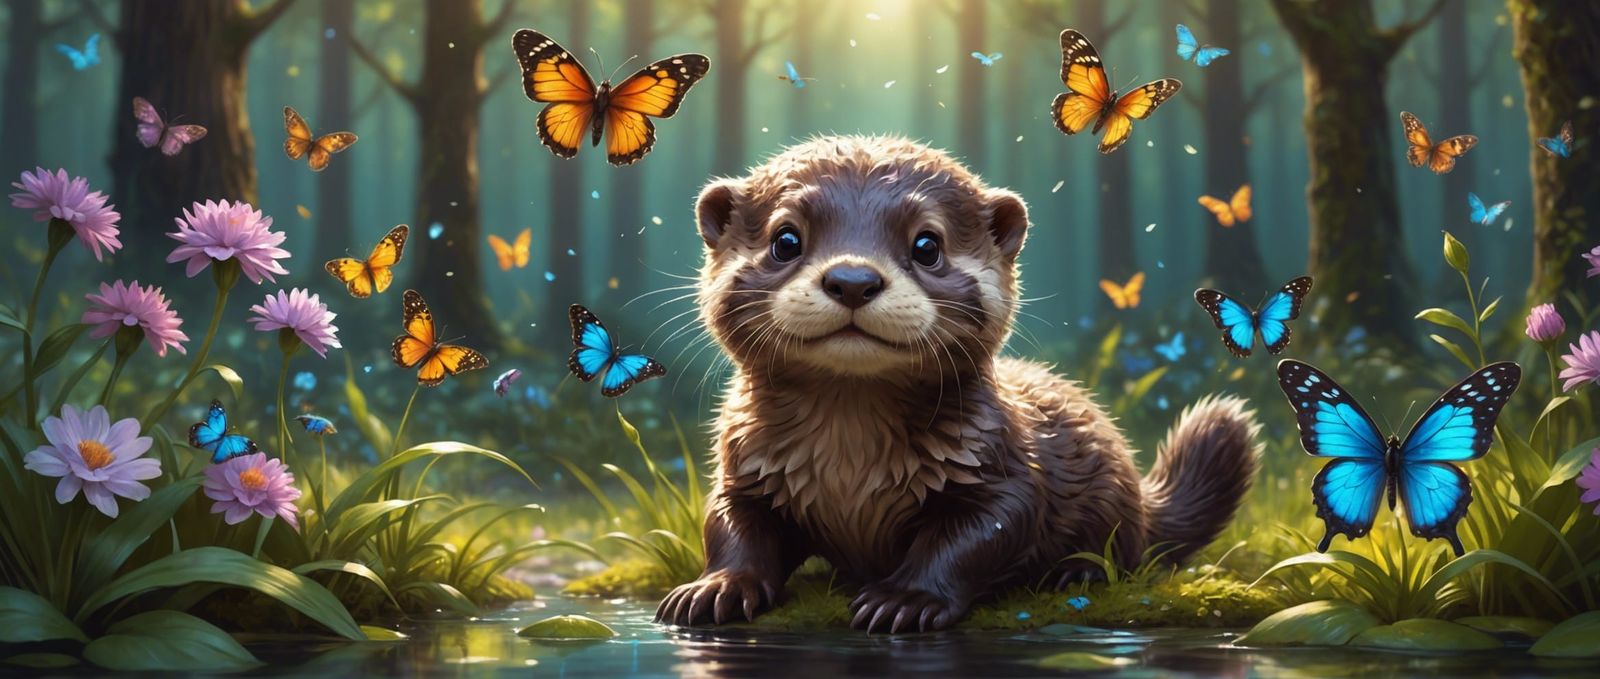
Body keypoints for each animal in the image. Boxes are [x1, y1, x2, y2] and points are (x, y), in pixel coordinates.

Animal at [656, 135, 1260, 633]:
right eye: (785, 239)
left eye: (927, 245)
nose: (852, 279)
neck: (849, 469)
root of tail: (1140, 494)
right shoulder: (744, 469)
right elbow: (732, 528)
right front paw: (710, 590)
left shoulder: (998, 469)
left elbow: (972, 538)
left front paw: (904, 600)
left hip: (1109, 500)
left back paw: (1074, 576)